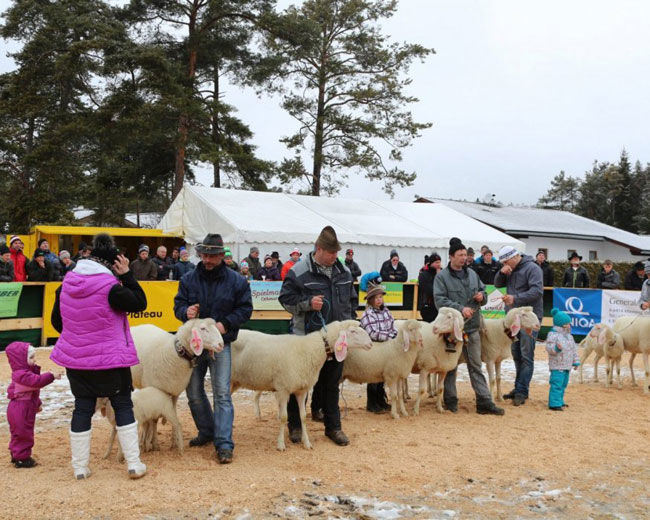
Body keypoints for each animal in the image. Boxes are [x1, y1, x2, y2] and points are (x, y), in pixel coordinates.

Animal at [229, 318, 370, 448]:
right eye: (353, 331)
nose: (370, 343)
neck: (312, 349)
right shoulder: (283, 389)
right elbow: (283, 417)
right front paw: (281, 444)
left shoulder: (302, 390)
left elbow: (303, 416)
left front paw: (306, 443)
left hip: (234, 382)